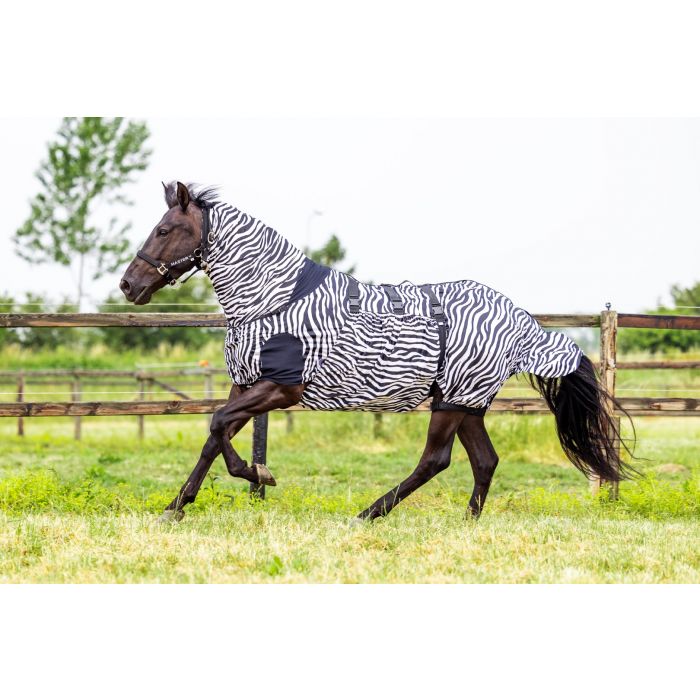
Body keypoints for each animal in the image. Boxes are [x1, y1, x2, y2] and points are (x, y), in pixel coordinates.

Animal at [120, 181, 634, 523]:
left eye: (164, 229)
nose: (128, 285)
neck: (275, 300)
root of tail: (520, 320)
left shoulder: (281, 389)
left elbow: (218, 426)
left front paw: (258, 473)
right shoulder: (244, 383)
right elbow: (214, 435)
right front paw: (175, 508)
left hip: (452, 403)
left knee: (436, 460)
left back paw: (369, 514)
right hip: (464, 403)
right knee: (484, 461)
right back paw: (467, 521)